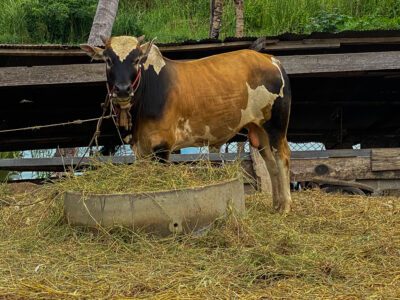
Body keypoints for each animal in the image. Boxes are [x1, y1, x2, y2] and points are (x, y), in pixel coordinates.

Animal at [82, 35, 294, 213]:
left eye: (136, 60)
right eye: (108, 60)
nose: (123, 90)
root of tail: (271, 60)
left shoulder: (162, 145)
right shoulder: (141, 149)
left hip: (276, 126)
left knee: (282, 157)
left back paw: (285, 207)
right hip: (259, 129)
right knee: (271, 164)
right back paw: (276, 205)